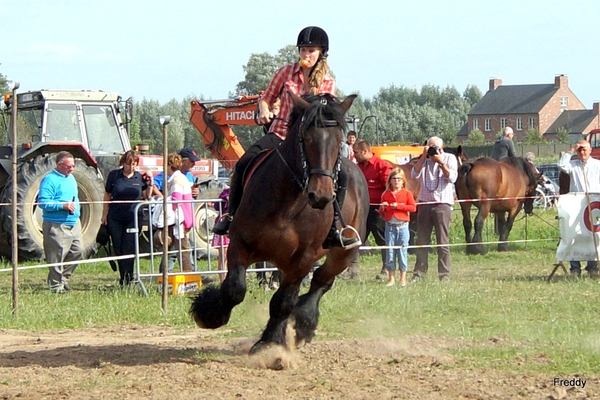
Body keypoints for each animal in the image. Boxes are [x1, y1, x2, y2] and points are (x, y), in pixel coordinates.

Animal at [192, 91, 370, 354]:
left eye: (339, 141)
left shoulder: (304, 258)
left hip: (343, 253)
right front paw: (210, 313)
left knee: (321, 281)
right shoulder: (240, 244)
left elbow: (283, 302)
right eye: (306, 138)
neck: (289, 204)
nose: (321, 196)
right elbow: (235, 288)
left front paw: (270, 344)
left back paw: (304, 320)